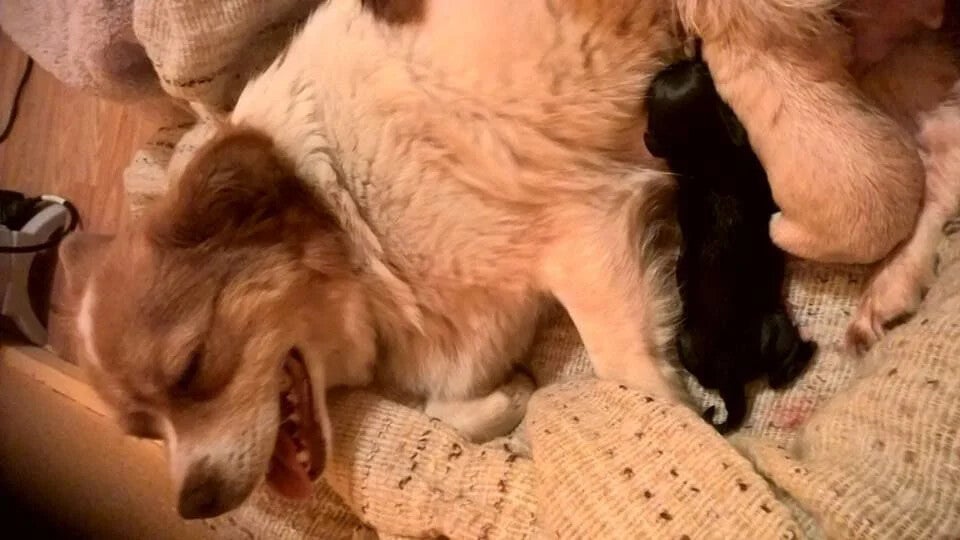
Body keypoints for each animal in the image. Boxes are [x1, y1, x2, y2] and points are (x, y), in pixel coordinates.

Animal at [644, 57, 816, 433]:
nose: (684, 58)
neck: (705, 155)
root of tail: (729, 378)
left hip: (684, 344)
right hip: (776, 327)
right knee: (780, 374)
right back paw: (809, 349)